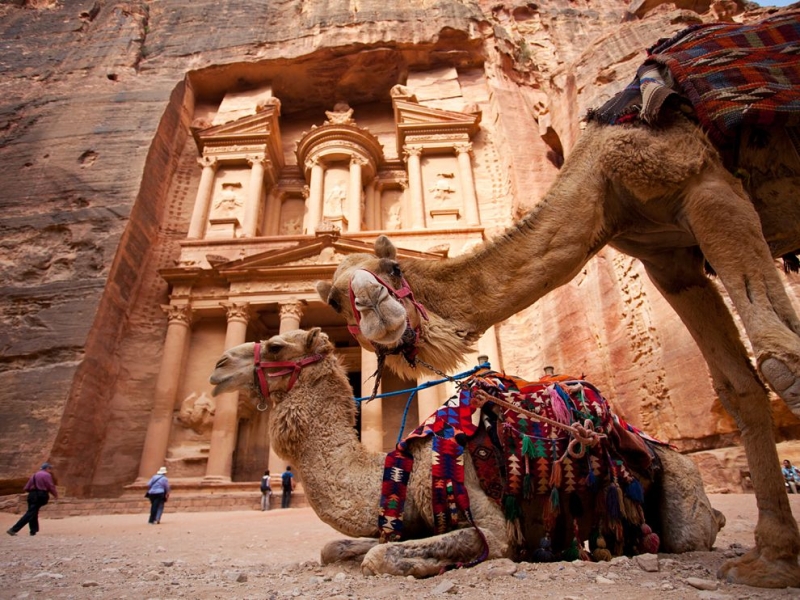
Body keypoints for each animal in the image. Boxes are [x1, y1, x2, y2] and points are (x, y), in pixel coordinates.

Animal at [209, 328, 720, 576]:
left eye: (277, 345)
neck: (401, 467)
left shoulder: (490, 525)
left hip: (681, 497)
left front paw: (424, 566)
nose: (218, 365)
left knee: (694, 532)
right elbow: (334, 548)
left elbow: (380, 559)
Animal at [318, 12, 800, 584]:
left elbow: (781, 360)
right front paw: (773, 553)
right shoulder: (670, 258)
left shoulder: (706, 185)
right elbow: (738, 388)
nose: (376, 310)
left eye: (392, 268)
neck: (603, 180)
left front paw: (777, 561)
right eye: (336, 302)